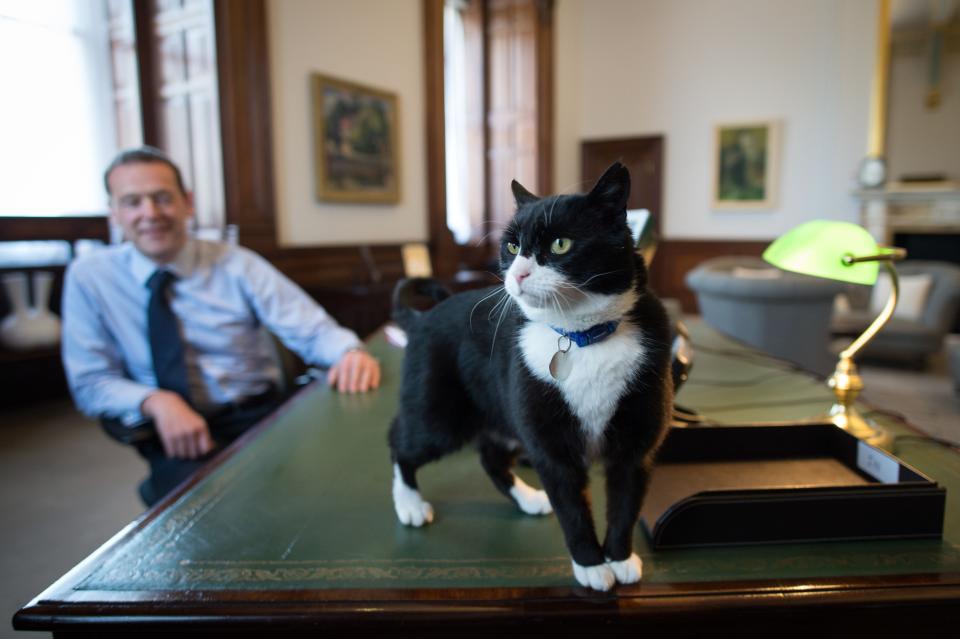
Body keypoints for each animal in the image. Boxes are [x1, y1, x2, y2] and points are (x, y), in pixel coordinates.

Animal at [386, 164, 672, 592]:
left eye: (560, 244)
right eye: (511, 247)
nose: (518, 273)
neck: (582, 338)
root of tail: (421, 318)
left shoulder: (636, 444)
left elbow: (625, 503)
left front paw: (619, 557)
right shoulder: (552, 447)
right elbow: (572, 508)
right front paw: (591, 565)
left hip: (502, 416)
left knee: (490, 457)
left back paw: (528, 498)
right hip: (439, 413)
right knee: (401, 441)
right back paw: (409, 503)